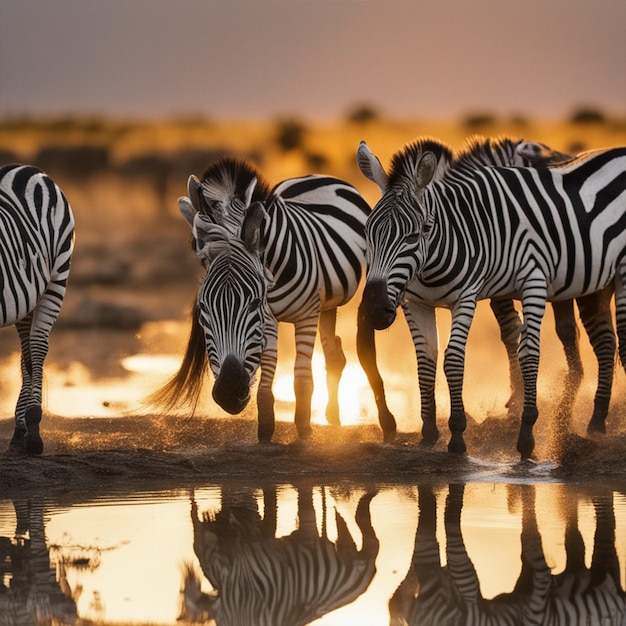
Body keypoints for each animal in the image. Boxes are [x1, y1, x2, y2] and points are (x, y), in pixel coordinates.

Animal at [0, 162, 74, 454]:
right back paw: (20, 432)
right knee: (27, 354)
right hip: (25, 297)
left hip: (57, 277)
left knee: (38, 346)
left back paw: (32, 430)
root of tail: (24, 167)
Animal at [149, 158, 398, 442]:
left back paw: (382, 421)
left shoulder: (305, 315)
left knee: (361, 347)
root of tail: (312, 175)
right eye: (203, 307)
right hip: (327, 302)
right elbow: (269, 366)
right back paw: (334, 416)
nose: (228, 392)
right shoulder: (269, 320)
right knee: (334, 354)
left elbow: (301, 377)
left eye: (254, 302)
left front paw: (303, 429)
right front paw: (266, 427)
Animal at [356, 136, 624, 456]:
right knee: (606, 341)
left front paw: (478, 434)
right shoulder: (417, 303)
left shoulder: (497, 289)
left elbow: (476, 356)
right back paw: (596, 423)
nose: (373, 310)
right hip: (596, 283)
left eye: (415, 234)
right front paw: (429, 433)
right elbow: (427, 360)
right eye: (367, 232)